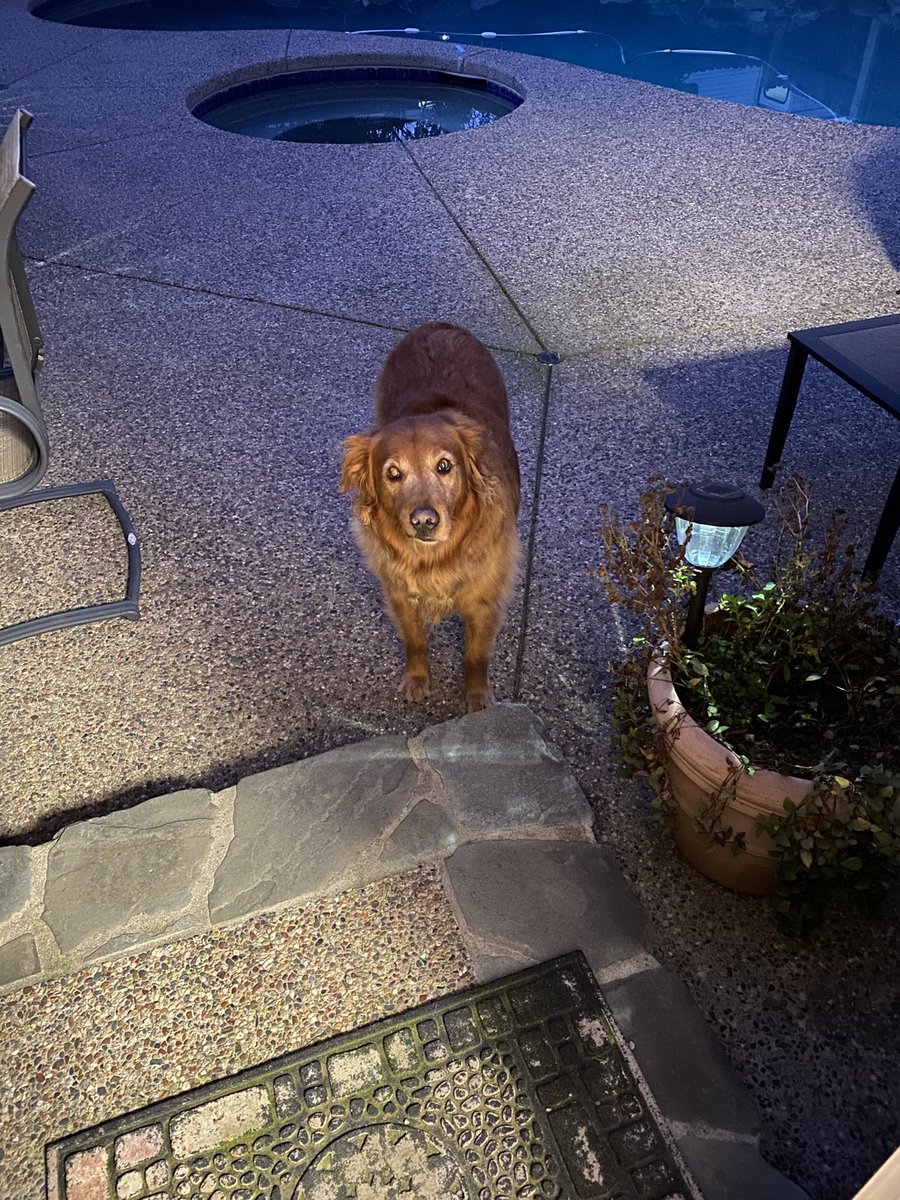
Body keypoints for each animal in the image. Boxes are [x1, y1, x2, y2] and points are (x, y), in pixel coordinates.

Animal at [340, 321, 520, 710]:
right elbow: (415, 641)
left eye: (444, 466)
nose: (424, 520)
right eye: (393, 474)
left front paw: (477, 697)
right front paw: (417, 679)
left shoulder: (484, 601)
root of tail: (439, 326)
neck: (434, 558)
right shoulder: (398, 593)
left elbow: (476, 656)